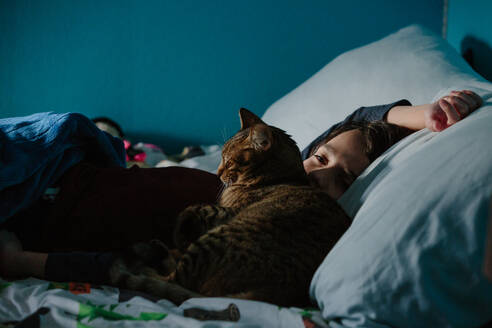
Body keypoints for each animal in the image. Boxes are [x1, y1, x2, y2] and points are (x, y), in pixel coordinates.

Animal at [109, 107, 352, 308]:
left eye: (229, 161)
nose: (217, 173)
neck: (281, 177)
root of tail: (270, 295)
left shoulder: (223, 212)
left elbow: (192, 208)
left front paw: (178, 234)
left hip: (214, 240)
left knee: (174, 279)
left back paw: (147, 263)